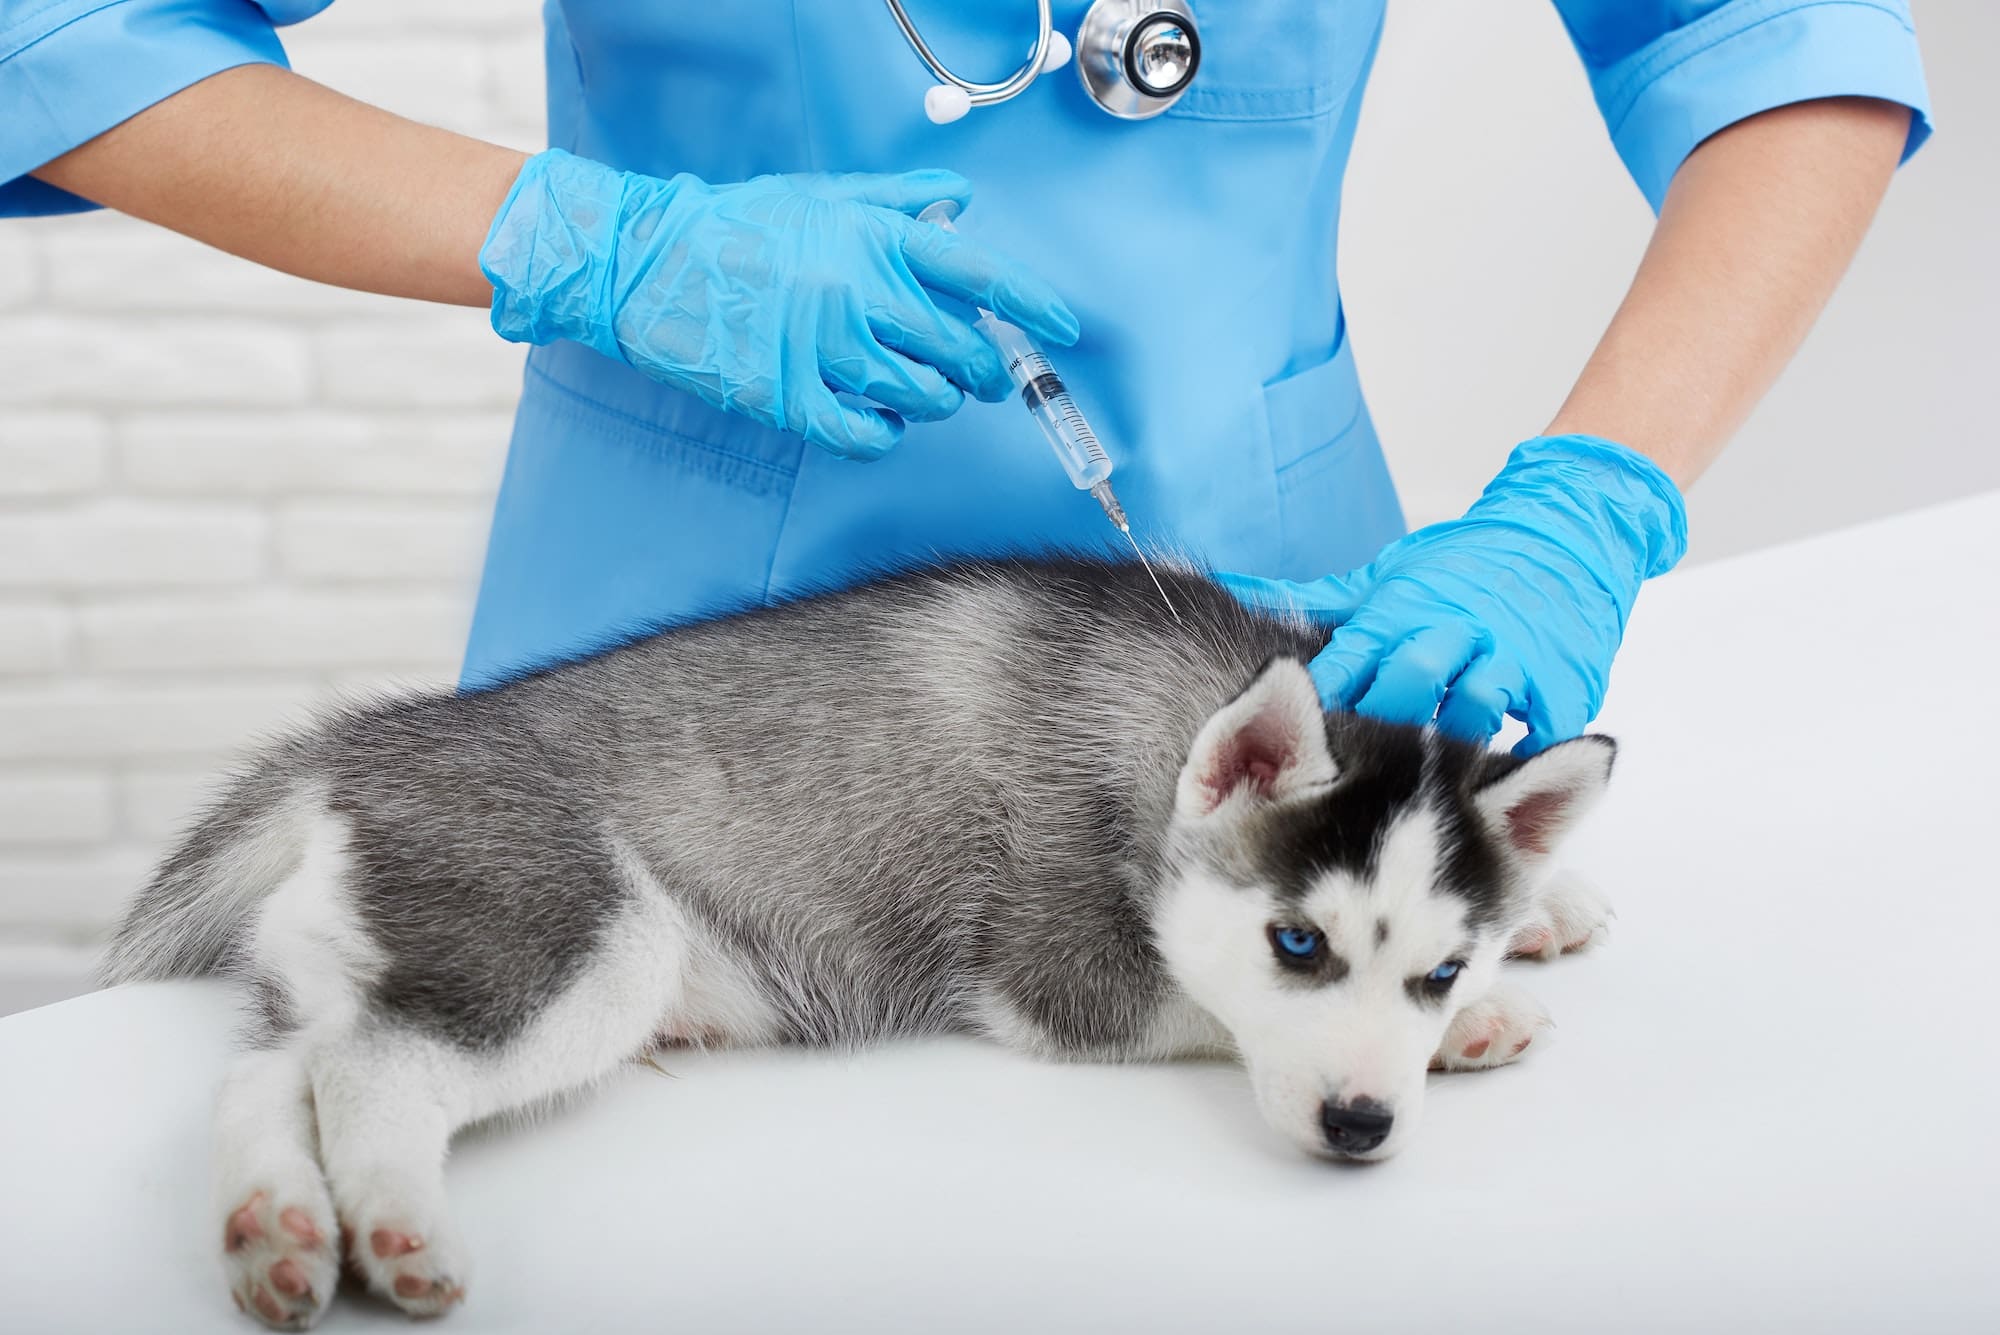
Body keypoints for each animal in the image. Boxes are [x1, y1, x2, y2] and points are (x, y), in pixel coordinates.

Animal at [101, 551, 1616, 1327]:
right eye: (1297, 947)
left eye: (1431, 965)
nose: (1363, 1124)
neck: (1173, 710)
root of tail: (345, 747)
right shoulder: (1052, 971)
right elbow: (1191, 1001)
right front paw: (1491, 1021)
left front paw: (1539, 914)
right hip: (582, 930)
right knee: (373, 1067)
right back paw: (396, 1225)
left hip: (390, 934)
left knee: (275, 1067)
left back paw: (276, 1230)